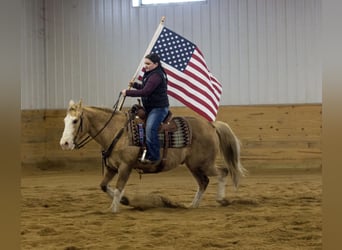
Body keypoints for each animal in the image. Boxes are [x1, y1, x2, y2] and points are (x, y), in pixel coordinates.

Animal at [59, 99, 246, 213]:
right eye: (65, 120)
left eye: (75, 121)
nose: (64, 143)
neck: (117, 131)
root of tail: (211, 125)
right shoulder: (112, 167)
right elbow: (104, 186)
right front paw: (125, 201)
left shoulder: (126, 167)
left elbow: (119, 187)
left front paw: (113, 208)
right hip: (193, 165)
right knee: (203, 182)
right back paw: (193, 205)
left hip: (204, 164)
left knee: (223, 172)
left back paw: (221, 200)